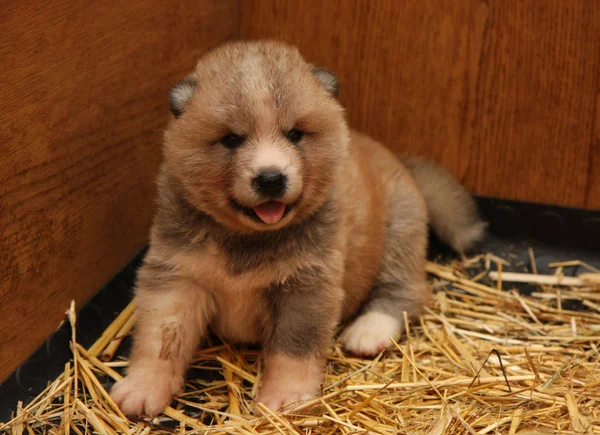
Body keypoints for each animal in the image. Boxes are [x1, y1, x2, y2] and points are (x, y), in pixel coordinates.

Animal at [110, 41, 486, 418]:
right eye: (231, 139)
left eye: (294, 134)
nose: (271, 178)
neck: (246, 239)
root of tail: (398, 158)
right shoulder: (177, 277)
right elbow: (160, 340)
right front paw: (144, 387)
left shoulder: (304, 287)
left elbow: (292, 349)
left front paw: (287, 396)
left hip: (400, 231)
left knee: (406, 291)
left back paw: (369, 330)